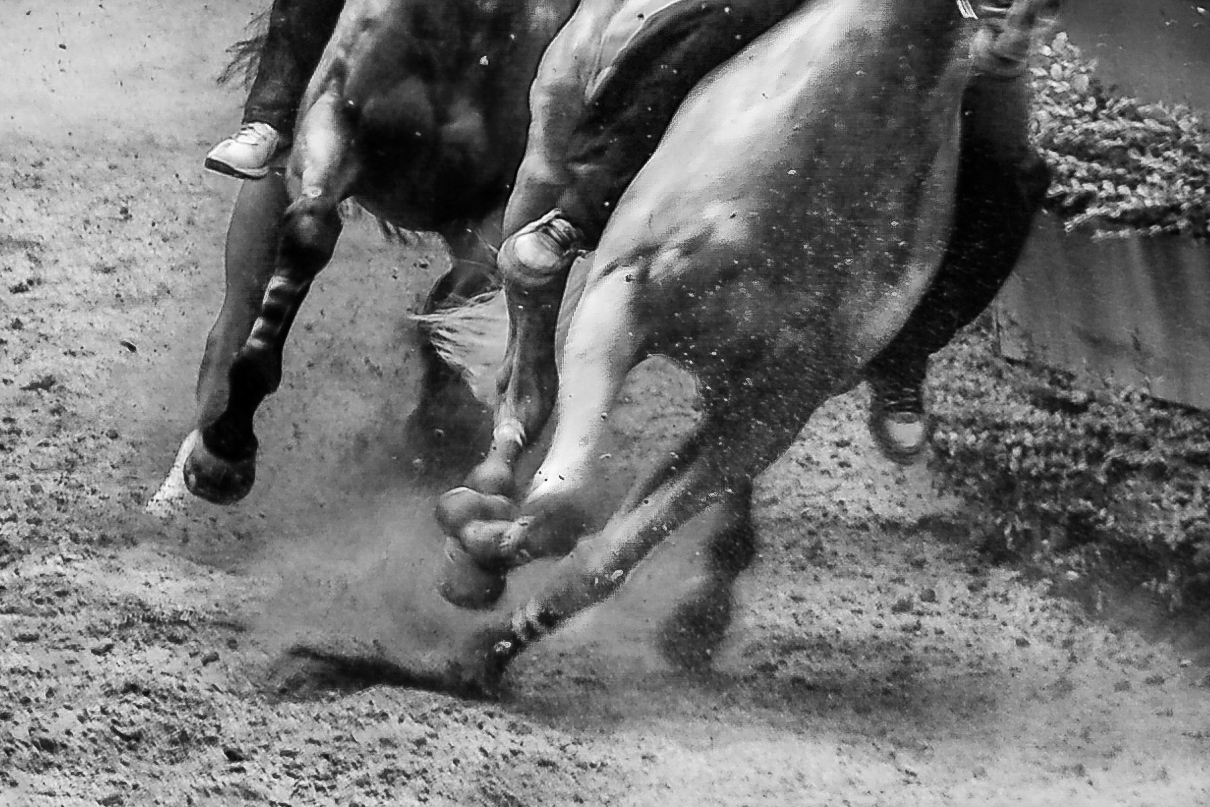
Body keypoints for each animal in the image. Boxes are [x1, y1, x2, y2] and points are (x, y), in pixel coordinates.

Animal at [147, 0, 575, 512]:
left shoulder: (499, 210)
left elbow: (450, 305)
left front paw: (437, 433)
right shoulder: (332, 118)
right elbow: (309, 235)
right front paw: (227, 448)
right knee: (237, 311)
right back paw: (191, 469)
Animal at [416, 0, 1052, 696]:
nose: (1011, 38)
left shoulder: (774, 407)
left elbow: (607, 558)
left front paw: (489, 651)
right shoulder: (622, 300)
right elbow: (564, 504)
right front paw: (473, 554)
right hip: (546, 157)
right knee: (527, 326)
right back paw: (491, 476)